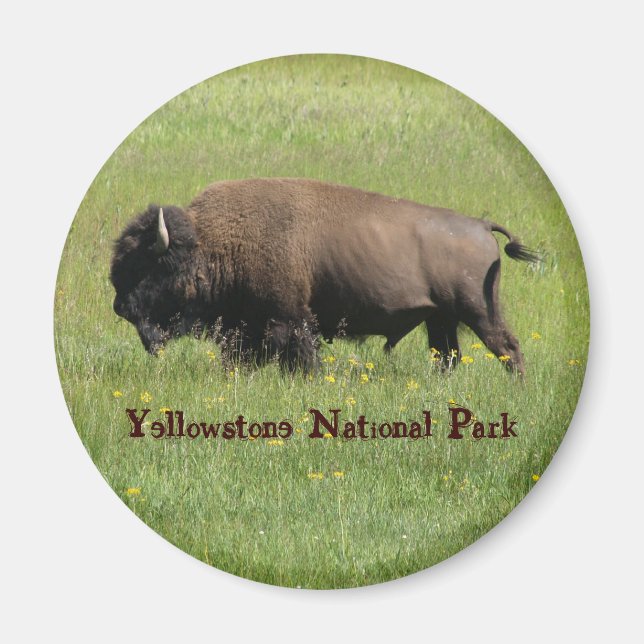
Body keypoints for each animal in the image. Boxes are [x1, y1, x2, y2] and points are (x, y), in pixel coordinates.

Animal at [110, 178, 538, 373]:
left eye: (147, 265)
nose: (120, 307)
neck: (211, 241)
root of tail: (480, 225)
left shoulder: (289, 319)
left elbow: (303, 357)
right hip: (441, 318)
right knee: (447, 356)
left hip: (478, 311)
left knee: (508, 347)